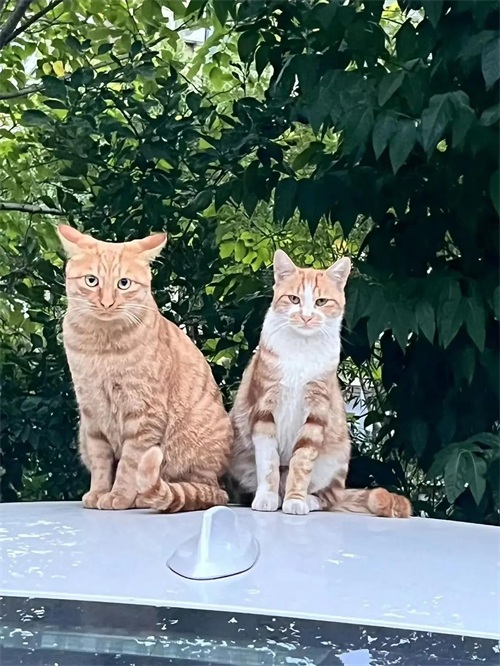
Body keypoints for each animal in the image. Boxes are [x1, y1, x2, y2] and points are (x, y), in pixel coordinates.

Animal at [58, 224, 232, 512]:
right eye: (92, 280)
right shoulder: (92, 413)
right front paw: (99, 492)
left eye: (124, 283)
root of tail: (219, 487)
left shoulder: (144, 415)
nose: (106, 303)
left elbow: (130, 464)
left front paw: (119, 496)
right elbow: (101, 461)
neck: (102, 346)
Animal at [230, 249, 412, 518]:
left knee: (330, 497)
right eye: (294, 299)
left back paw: (307, 499)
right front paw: (266, 498)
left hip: (337, 456)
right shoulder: (263, 409)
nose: (306, 316)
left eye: (321, 302)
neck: (301, 351)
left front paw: (295, 500)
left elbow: (302, 462)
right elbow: (268, 463)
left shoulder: (316, 412)